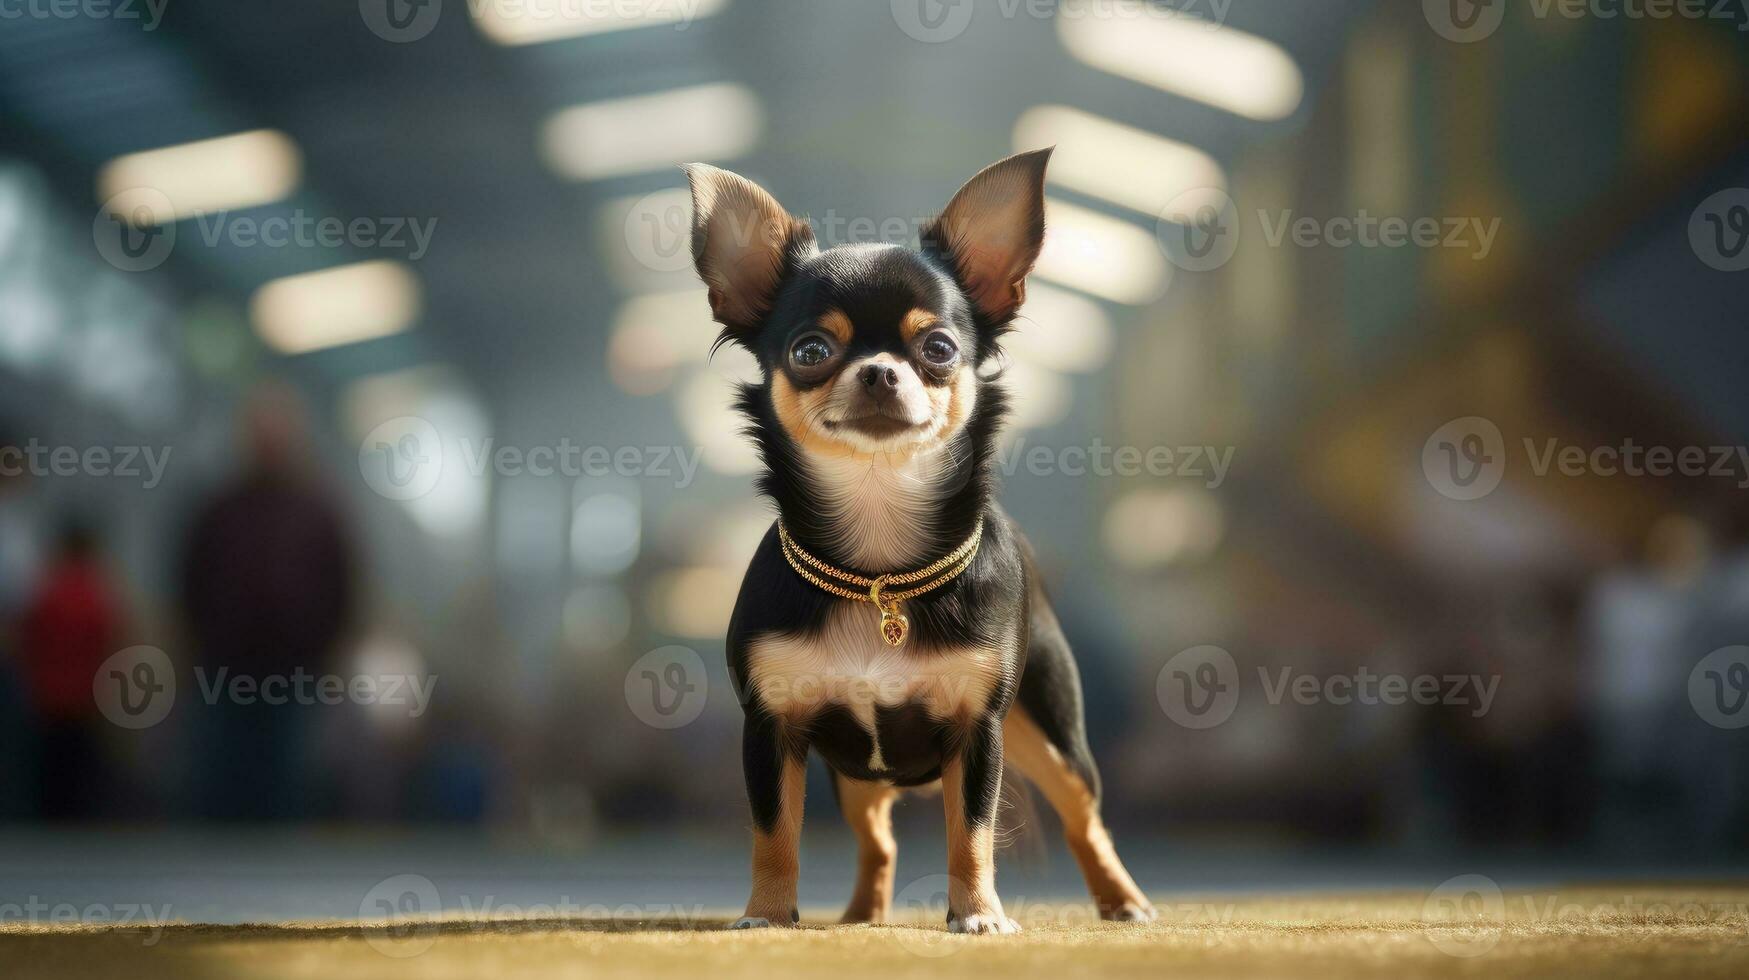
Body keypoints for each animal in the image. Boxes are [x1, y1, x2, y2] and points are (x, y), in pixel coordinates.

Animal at [689, 149, 1154, 931]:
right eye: (810, 350)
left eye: (938, 348)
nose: (880, 371)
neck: (878, 569)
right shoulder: (772, 728)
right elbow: (773, 831)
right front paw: (768, 914)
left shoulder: (978, 731)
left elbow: (970, 832)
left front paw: (978, 915)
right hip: (855, 775)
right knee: (877, 840)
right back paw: (861, 915)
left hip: (1052, 735)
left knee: (1084, 820)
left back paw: (1124, 900)